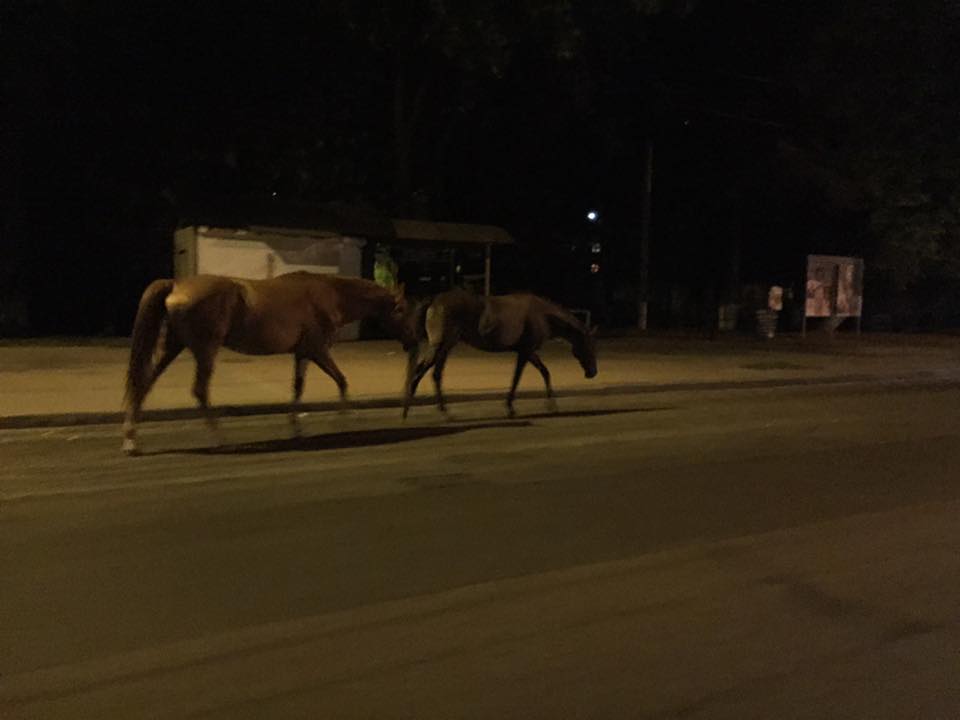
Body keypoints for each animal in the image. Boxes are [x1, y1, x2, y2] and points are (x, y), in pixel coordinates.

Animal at [122, 272, 406, 452]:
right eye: (402, 309)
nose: (410, 341)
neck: (331, 294)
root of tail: (176, 286)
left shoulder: (302, 353)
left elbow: (298, 389)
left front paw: (296, 428)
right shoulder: (318, 350)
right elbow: (342, 381)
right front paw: (345, 420)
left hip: (173, 347)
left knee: (144, 384)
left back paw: (132, 440)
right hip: (205, 351)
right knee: (200, 390)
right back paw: (219, 437)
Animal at [402, 286, 596, 416]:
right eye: (590, 346)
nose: (592, 373)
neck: (543, 315)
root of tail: (434, 300)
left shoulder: (528, 351)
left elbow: (545, 372)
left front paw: (551, 404)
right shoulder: (525, 352)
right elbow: (516, 378)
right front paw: (510, 407)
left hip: (442, 348)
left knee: (427, 372)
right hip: (442, 347)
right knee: (427, 372)